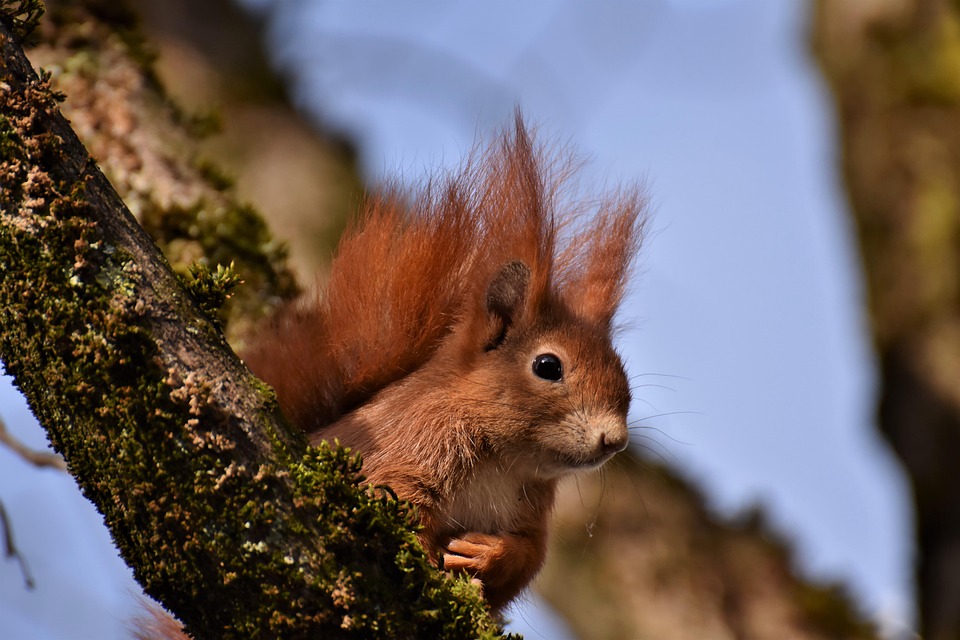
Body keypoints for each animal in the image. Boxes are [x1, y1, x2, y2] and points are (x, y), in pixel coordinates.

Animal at [136, 114, 646, 636]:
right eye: (548, 366)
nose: (614, 440)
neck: (504, 462)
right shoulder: (411, 443)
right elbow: (396, 499)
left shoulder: (531, 509)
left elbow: (525, 557)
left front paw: (487, 553)